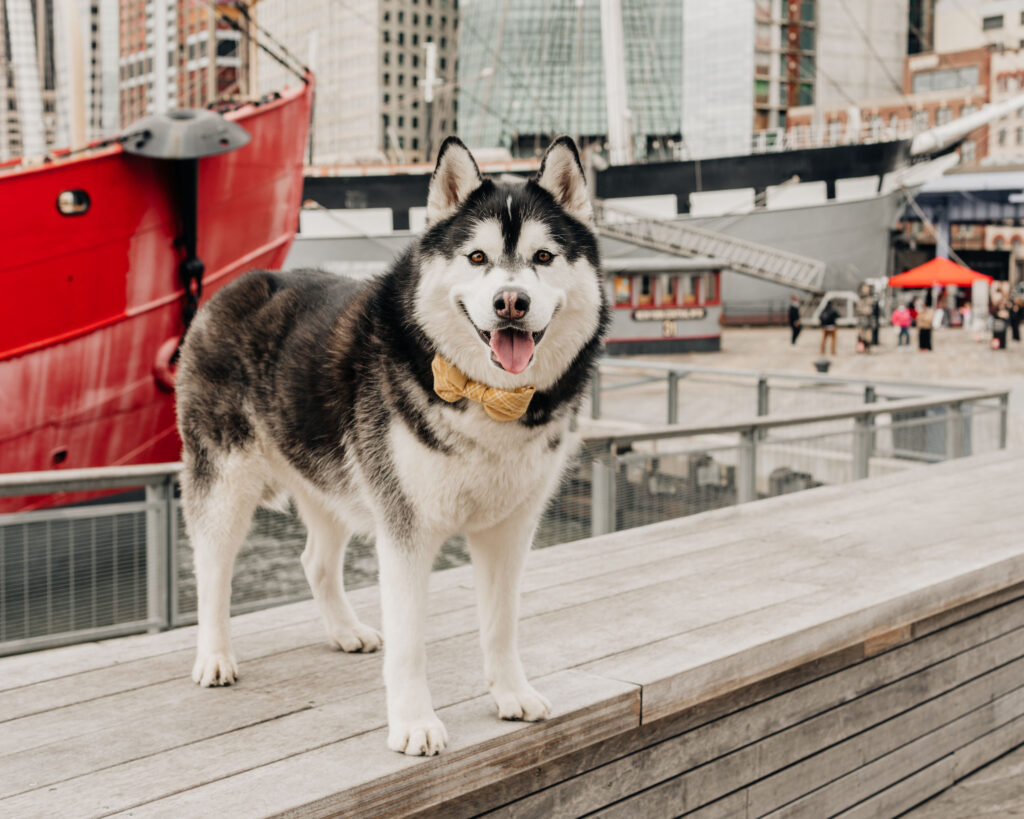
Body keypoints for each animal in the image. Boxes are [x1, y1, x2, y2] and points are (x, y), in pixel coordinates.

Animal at [176, 134, 606, 753]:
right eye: (478, 258)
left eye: (544, 258)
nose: (511, 302)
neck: (486, 398)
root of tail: (236, 285)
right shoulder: (406, 530)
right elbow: (410, 643)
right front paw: (414, 723)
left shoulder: (509, 530)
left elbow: (501, 624)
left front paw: (510, 693)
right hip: (225, 483)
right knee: (212, 568)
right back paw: (214, 657)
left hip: (328, 479)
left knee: (314, 560)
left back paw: (345, 630)